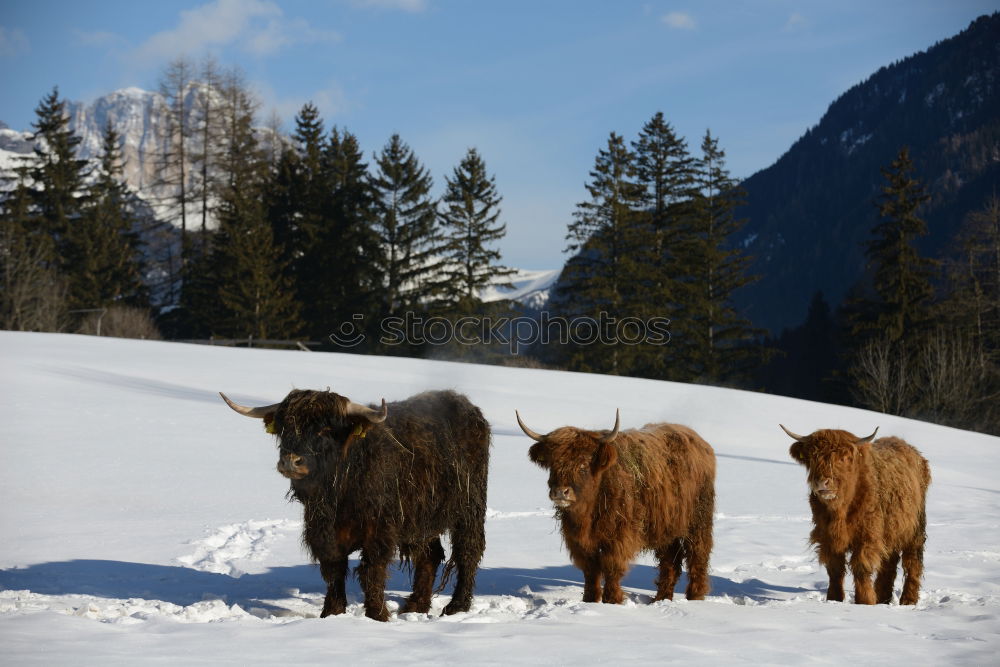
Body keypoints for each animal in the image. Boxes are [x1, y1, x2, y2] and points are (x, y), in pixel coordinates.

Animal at [221, 388, 490, 624]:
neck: (338, 494)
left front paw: (377, 616)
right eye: (285, 426)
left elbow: (371, 572)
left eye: (325, 429)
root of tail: (468, 407)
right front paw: (332, 614)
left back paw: (457, 607)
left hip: (470, 507)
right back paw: (415, 606)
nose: (291, 461)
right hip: (421, 518)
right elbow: (334, 571)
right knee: (429, 556)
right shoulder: (323, 532)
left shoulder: (379, 532)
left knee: (468, 551)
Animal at [520, 412, 716, 604]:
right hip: (666, 527)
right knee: (670, 562)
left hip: (699, 520)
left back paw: (695, 597)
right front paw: (589, 600)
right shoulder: (579, 541)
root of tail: (699, 441)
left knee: (698, 555)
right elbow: (591, 570)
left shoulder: (619, 537)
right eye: (553, 464)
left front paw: (612, 601)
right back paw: (661, 599)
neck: (588, 513)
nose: (561, 492)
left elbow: (611, 567)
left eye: (583, 465)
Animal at [780, 426, 928, 608]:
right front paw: (834, 599)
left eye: (843, 458)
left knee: (912, 562)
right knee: (889, 564)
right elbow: (835, 569)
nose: (822, 482)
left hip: (915, 528)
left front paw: (865, 602)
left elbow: (861, 567)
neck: (840, 511)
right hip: (890, 531)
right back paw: (883, 598)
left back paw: (908, 600)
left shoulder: (868, 536)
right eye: (812, 457)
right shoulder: (827, 537)